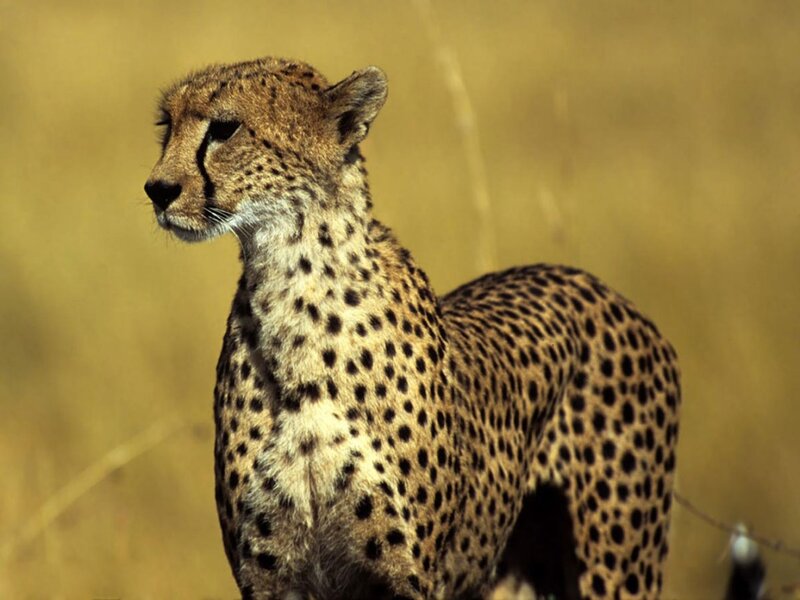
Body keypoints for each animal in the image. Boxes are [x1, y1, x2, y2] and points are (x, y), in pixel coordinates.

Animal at [144, 57, 680, 599]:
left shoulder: (409, 578)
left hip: (617, 569)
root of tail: (590, 281)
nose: (158, 190)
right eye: (167, 125)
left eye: (224, 128)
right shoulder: (269, 581)